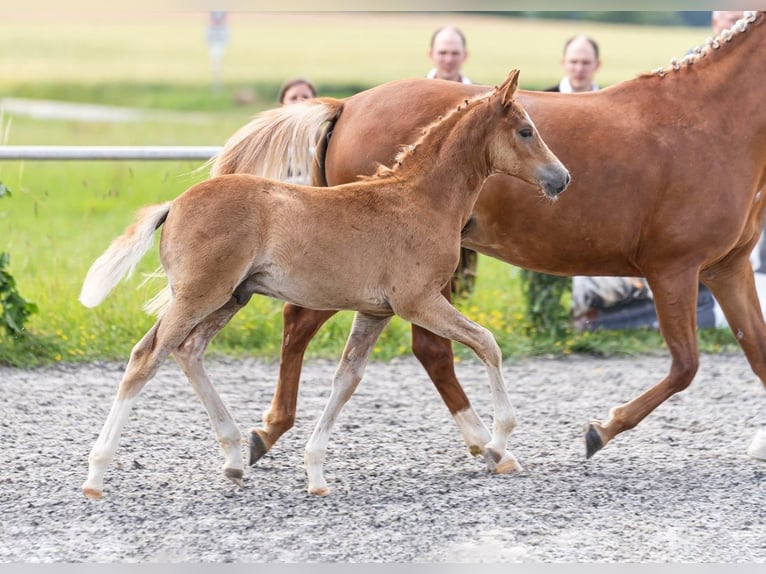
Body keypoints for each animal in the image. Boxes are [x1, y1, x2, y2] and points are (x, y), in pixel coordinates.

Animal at [81, 70, 572, 498]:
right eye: (526, 131)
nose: (562, 178)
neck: (419, 200)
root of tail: (174, 206)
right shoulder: (418, 302)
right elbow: (486, 342)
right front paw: (497, 444)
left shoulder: (375, 311)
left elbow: (346, 378)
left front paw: (315, 473)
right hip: (201, 294)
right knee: (146, 357)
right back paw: (97, 474)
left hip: (230, 298)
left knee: (188, 351)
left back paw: (235, 458)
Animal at [213, 11, 766, 466]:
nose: (561, 180)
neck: (709, 123)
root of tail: (347, 105)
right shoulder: (674, 268)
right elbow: (686, 366)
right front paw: (600, 430)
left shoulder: (728, 267)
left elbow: (756, 351)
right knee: (333, 328)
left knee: (396, 343)